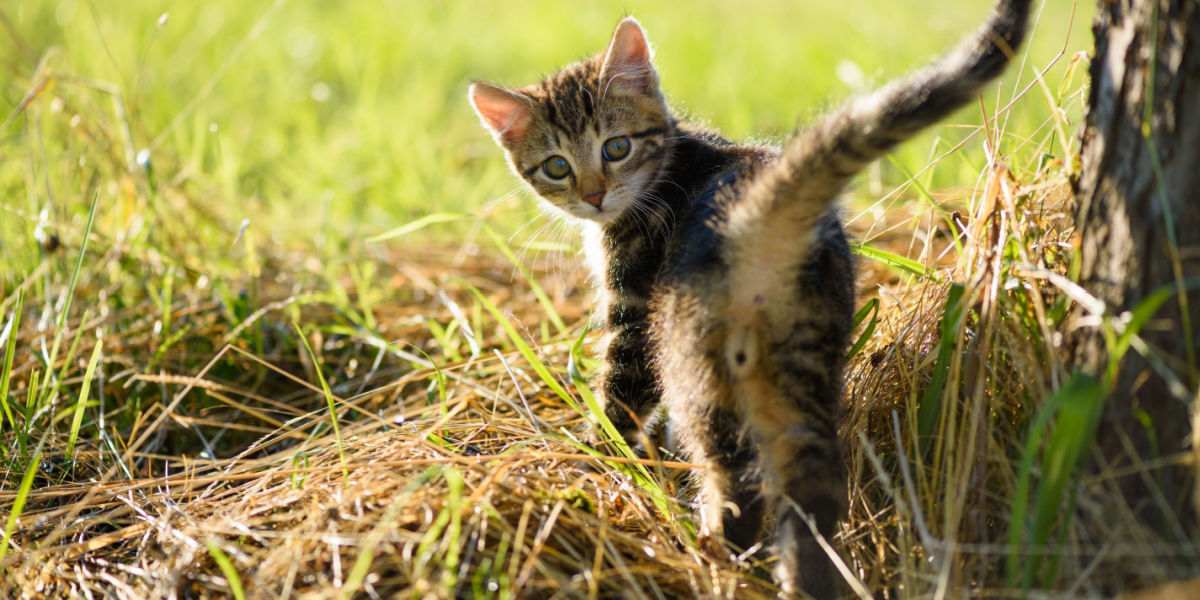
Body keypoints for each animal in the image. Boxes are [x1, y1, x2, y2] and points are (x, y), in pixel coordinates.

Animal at [468, 1, 1032, 595]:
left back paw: (715, 552)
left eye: (615, 147)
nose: (594, 195)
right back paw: (801, 577)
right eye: (557, 165)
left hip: (694, 364)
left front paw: (590, 459)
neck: (670, 163)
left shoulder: (634, 309)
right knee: (813, 485)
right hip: (804, 358)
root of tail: (755, 209)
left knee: (733, 479)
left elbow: (621, 397)